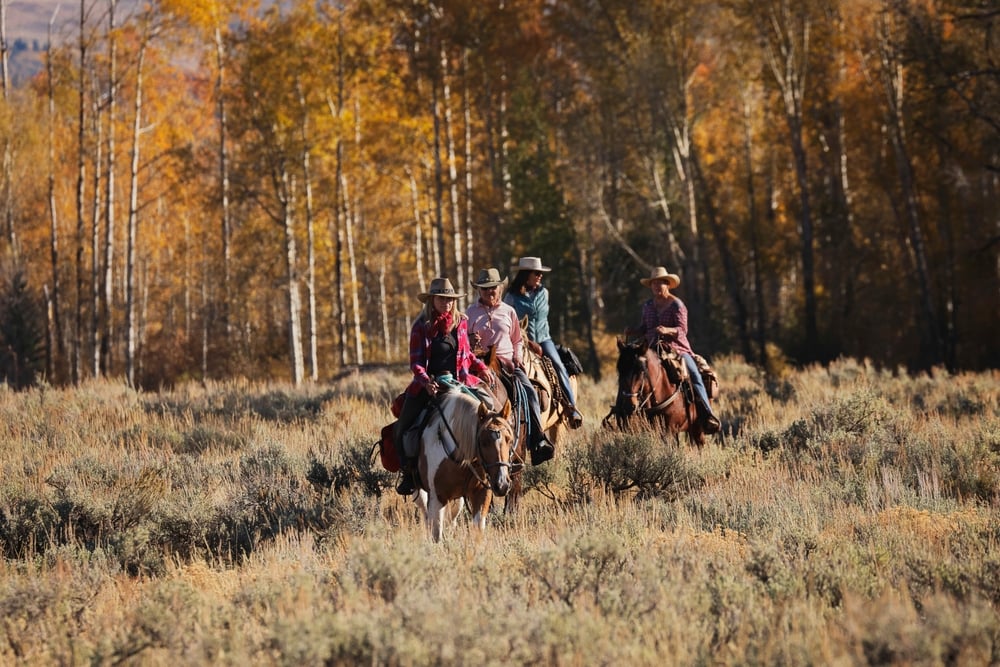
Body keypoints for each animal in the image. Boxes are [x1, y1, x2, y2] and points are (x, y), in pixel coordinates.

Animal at [416, 386, 516, 544]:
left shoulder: (482, 493)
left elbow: (477, 530)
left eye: (509, 439)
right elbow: (436, 534)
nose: (502, 485)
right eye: (483, 441)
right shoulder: (437, 497)